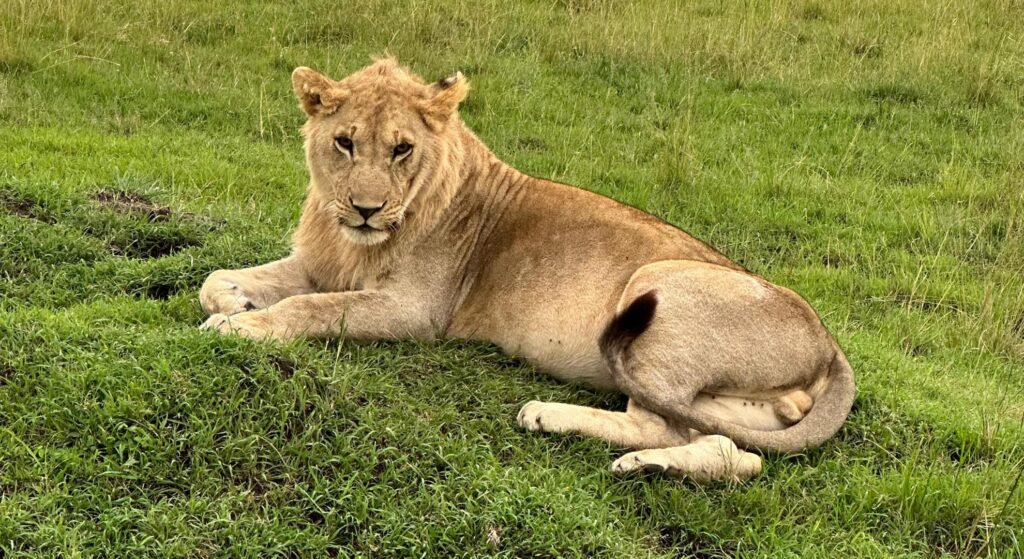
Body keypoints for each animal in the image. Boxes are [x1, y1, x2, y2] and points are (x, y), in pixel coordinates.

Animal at [200, 58, 855, 482]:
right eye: (344, 142)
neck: (352, 240)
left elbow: (309, 307)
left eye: (401, 149)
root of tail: (830, 346)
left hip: (657, 283)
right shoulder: (320, 263)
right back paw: (648, 467)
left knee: (661, 425)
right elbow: (218, 283)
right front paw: (236, 301)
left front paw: (242, 326)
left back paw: (548, 416)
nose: (365, 208)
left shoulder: (414, 311)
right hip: (731, 403)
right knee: (734, 450)